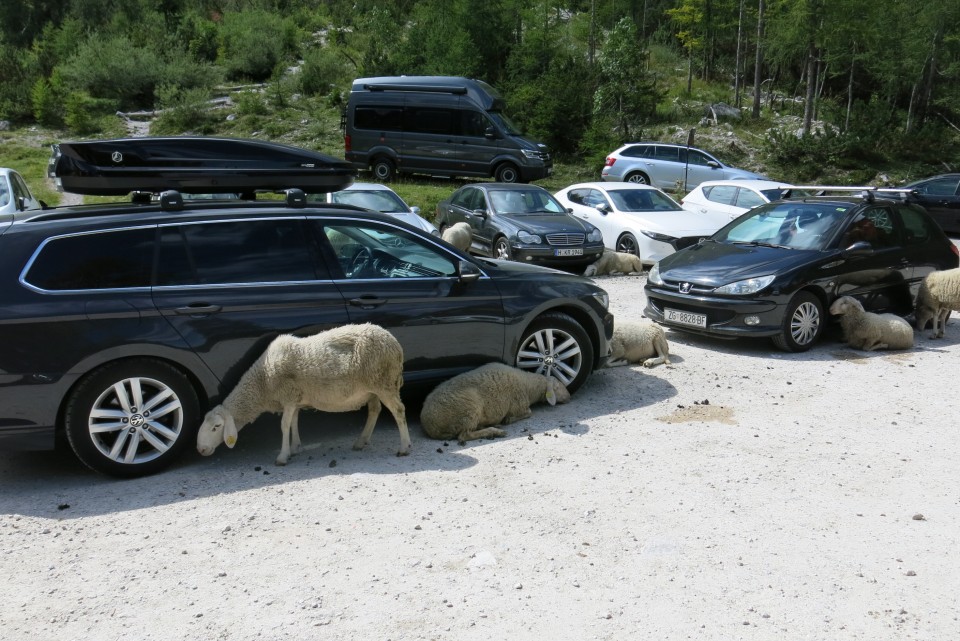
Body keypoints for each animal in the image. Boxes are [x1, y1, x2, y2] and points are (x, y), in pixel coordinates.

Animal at [195, 322, 408, 462]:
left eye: (216, 427)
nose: (200, 449)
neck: (262, 381)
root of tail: (394, 342)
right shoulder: (295, 398)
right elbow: (294, 423)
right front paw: (295, 448)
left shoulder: (288, 396)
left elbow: (283, 425)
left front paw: (282, 456)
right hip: (372, 388)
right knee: (374, 410)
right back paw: (361, 441)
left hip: (384, 383)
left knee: (398, 410)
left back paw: (405, 447)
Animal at [420, 360, 568, 444]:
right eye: (558, 386)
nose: (569, 396)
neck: (528, 386)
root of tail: (430, 426)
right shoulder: (519, 406)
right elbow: (529, 413)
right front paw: (508, 420)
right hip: (468, 409)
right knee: (464, 436)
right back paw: (495, 431)